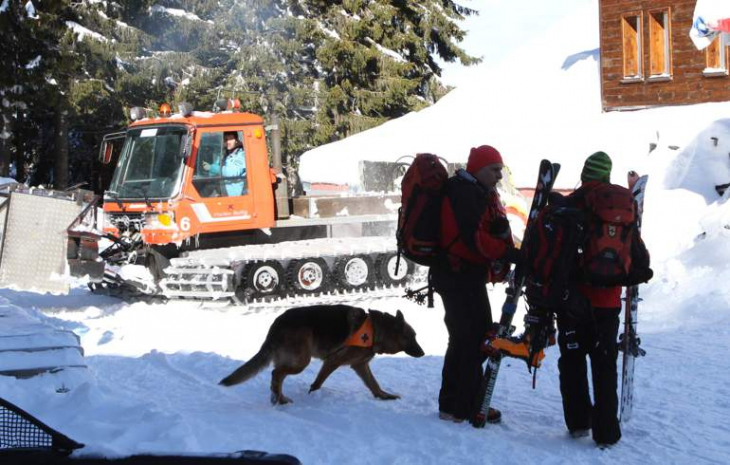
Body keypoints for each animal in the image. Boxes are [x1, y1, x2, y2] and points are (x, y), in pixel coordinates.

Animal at [218, 304, 420, 402]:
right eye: (412, 337)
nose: (422, 352)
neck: (378, 329)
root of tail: (277, 324)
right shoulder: (333, 361)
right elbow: (319, 382)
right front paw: (312, 391)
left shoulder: (360, 365)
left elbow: (374, 384)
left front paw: (384, 396)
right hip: (301, 361)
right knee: (276, 374)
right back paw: (280, 399)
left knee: (277, 378)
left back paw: (277, 397)